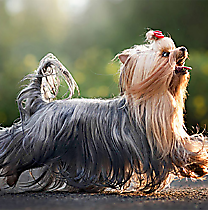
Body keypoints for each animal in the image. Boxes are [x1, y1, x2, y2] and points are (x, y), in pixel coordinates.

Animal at [0, 30, 208, 194]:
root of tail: (43, 105)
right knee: (12, 143)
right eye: (165, 54)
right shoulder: (162, 142)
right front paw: (200, 164)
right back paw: (10, 175)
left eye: (173, 48)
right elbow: (185, 151)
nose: (183, 49)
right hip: (38, 141)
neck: (156, 95)